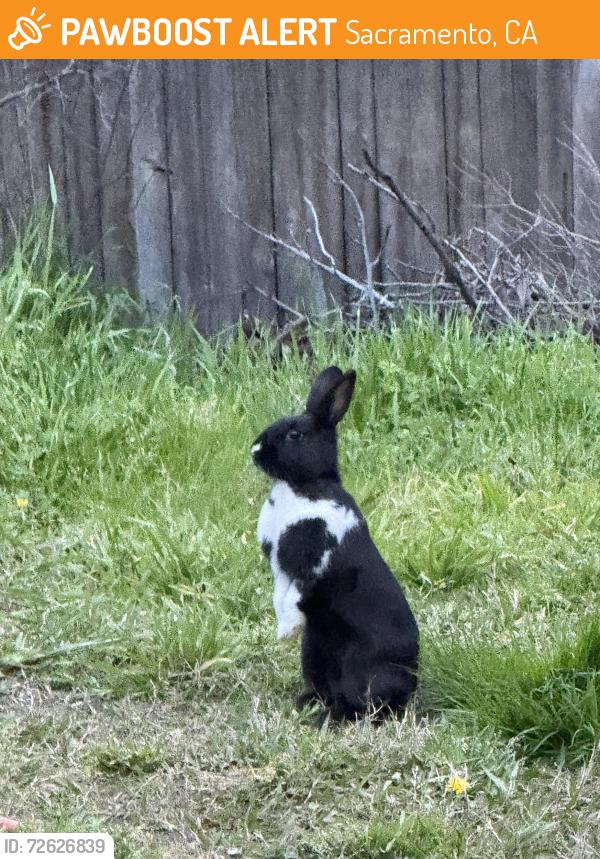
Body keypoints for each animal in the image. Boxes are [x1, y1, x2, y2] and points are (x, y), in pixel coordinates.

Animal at [251, 365, 419, 720]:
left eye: (295, 435)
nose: (255, 451)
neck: (303, 485)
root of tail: (410, 683)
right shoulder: (282, 569)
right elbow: (279, 595)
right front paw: (283, 631)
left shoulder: (313, 561)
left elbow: (292, 597)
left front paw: (286, 630)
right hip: (313, 654)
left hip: (357, 670)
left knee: (360, 705)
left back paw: (326, 719)